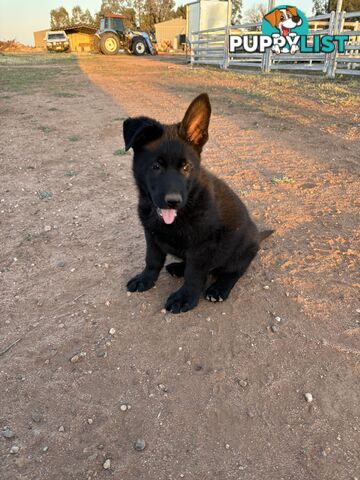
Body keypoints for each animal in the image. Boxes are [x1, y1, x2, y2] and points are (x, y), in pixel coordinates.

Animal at [124, 93, 272, 314]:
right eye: (156, 166)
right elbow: (152, 260)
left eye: (186, 167)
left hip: (242, 250)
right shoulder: (151, 234)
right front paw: (145, 279)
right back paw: (177, 267)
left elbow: (194, 274)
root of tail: (257, 236)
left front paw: (185, 297)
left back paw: (219, 288)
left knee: (234, 272)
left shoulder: (202, 246)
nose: (173, 201)